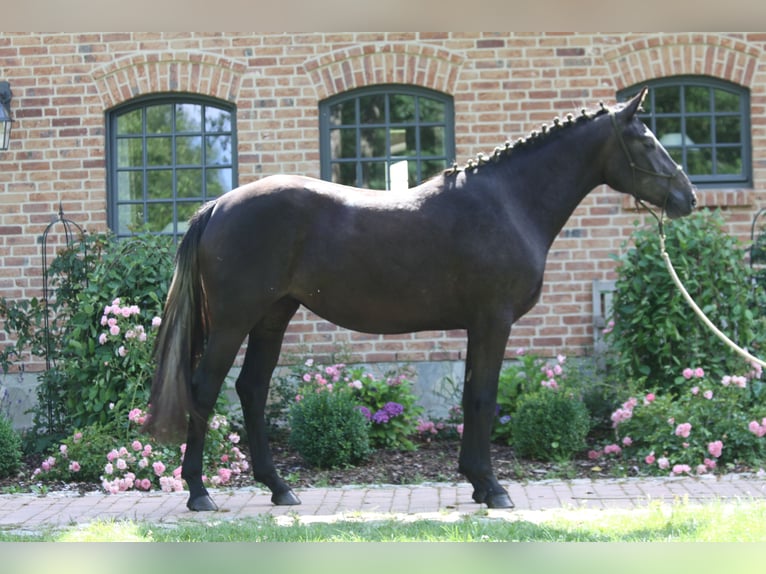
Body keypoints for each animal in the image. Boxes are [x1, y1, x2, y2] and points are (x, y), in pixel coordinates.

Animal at [143, 87, 696, 511]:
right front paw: (493, 488)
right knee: (204, 389)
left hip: (273, 316)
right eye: (645, 140)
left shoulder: (479, 325)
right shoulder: (494, 321)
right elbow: (483, 397)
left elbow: (472, 396)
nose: (687, 197)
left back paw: (279, 488)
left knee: (252, 390)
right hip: (233, 321)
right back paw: (199, 493)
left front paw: (476, 483)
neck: (508, 202)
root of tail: (217, 205)